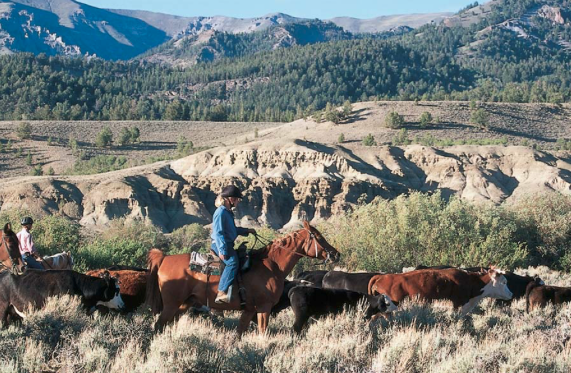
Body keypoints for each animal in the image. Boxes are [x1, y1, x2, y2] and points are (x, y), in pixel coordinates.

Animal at [146, 219, 340, 336]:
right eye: (319, 237)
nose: (335, 254)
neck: (272, 265)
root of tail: (163, 258)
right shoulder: (264, 307)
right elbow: (262, 331)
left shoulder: (249, 310)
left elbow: (239, 332)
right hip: (171, 305)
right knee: (158, 326)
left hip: (183, 305)